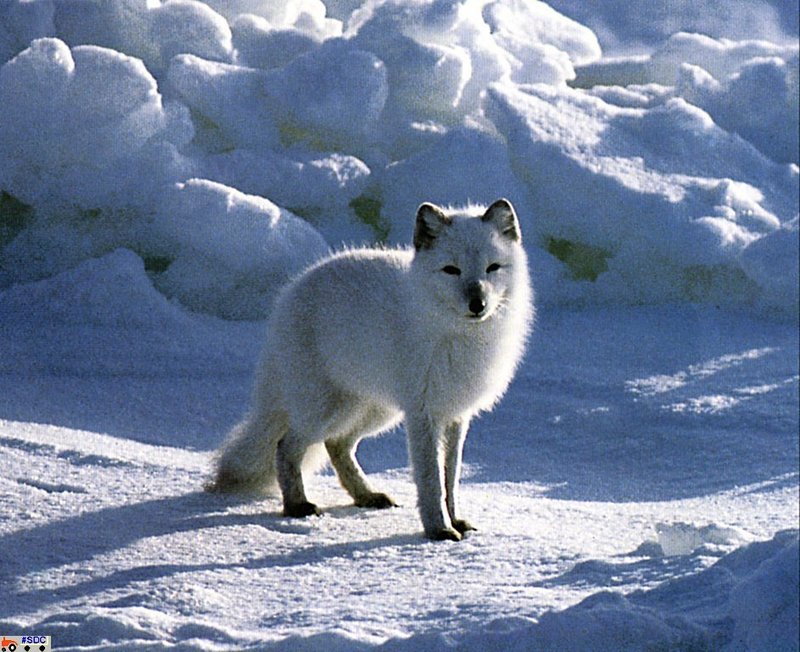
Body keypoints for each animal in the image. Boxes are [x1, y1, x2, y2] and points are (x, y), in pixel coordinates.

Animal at [209, 197, 536, 540]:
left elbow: (451, 479)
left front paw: (455, 520)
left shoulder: (457, 415)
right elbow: (431, 480)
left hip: (373, 411)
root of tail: (290, 292)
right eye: (451, 270)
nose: (478, 304)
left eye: (492, 267)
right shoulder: (424, 414)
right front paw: (438, 529)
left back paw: (365, 495)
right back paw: (297, 505)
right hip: (326, 410)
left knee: (337, 445)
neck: (458, 337)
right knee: (285, 446)